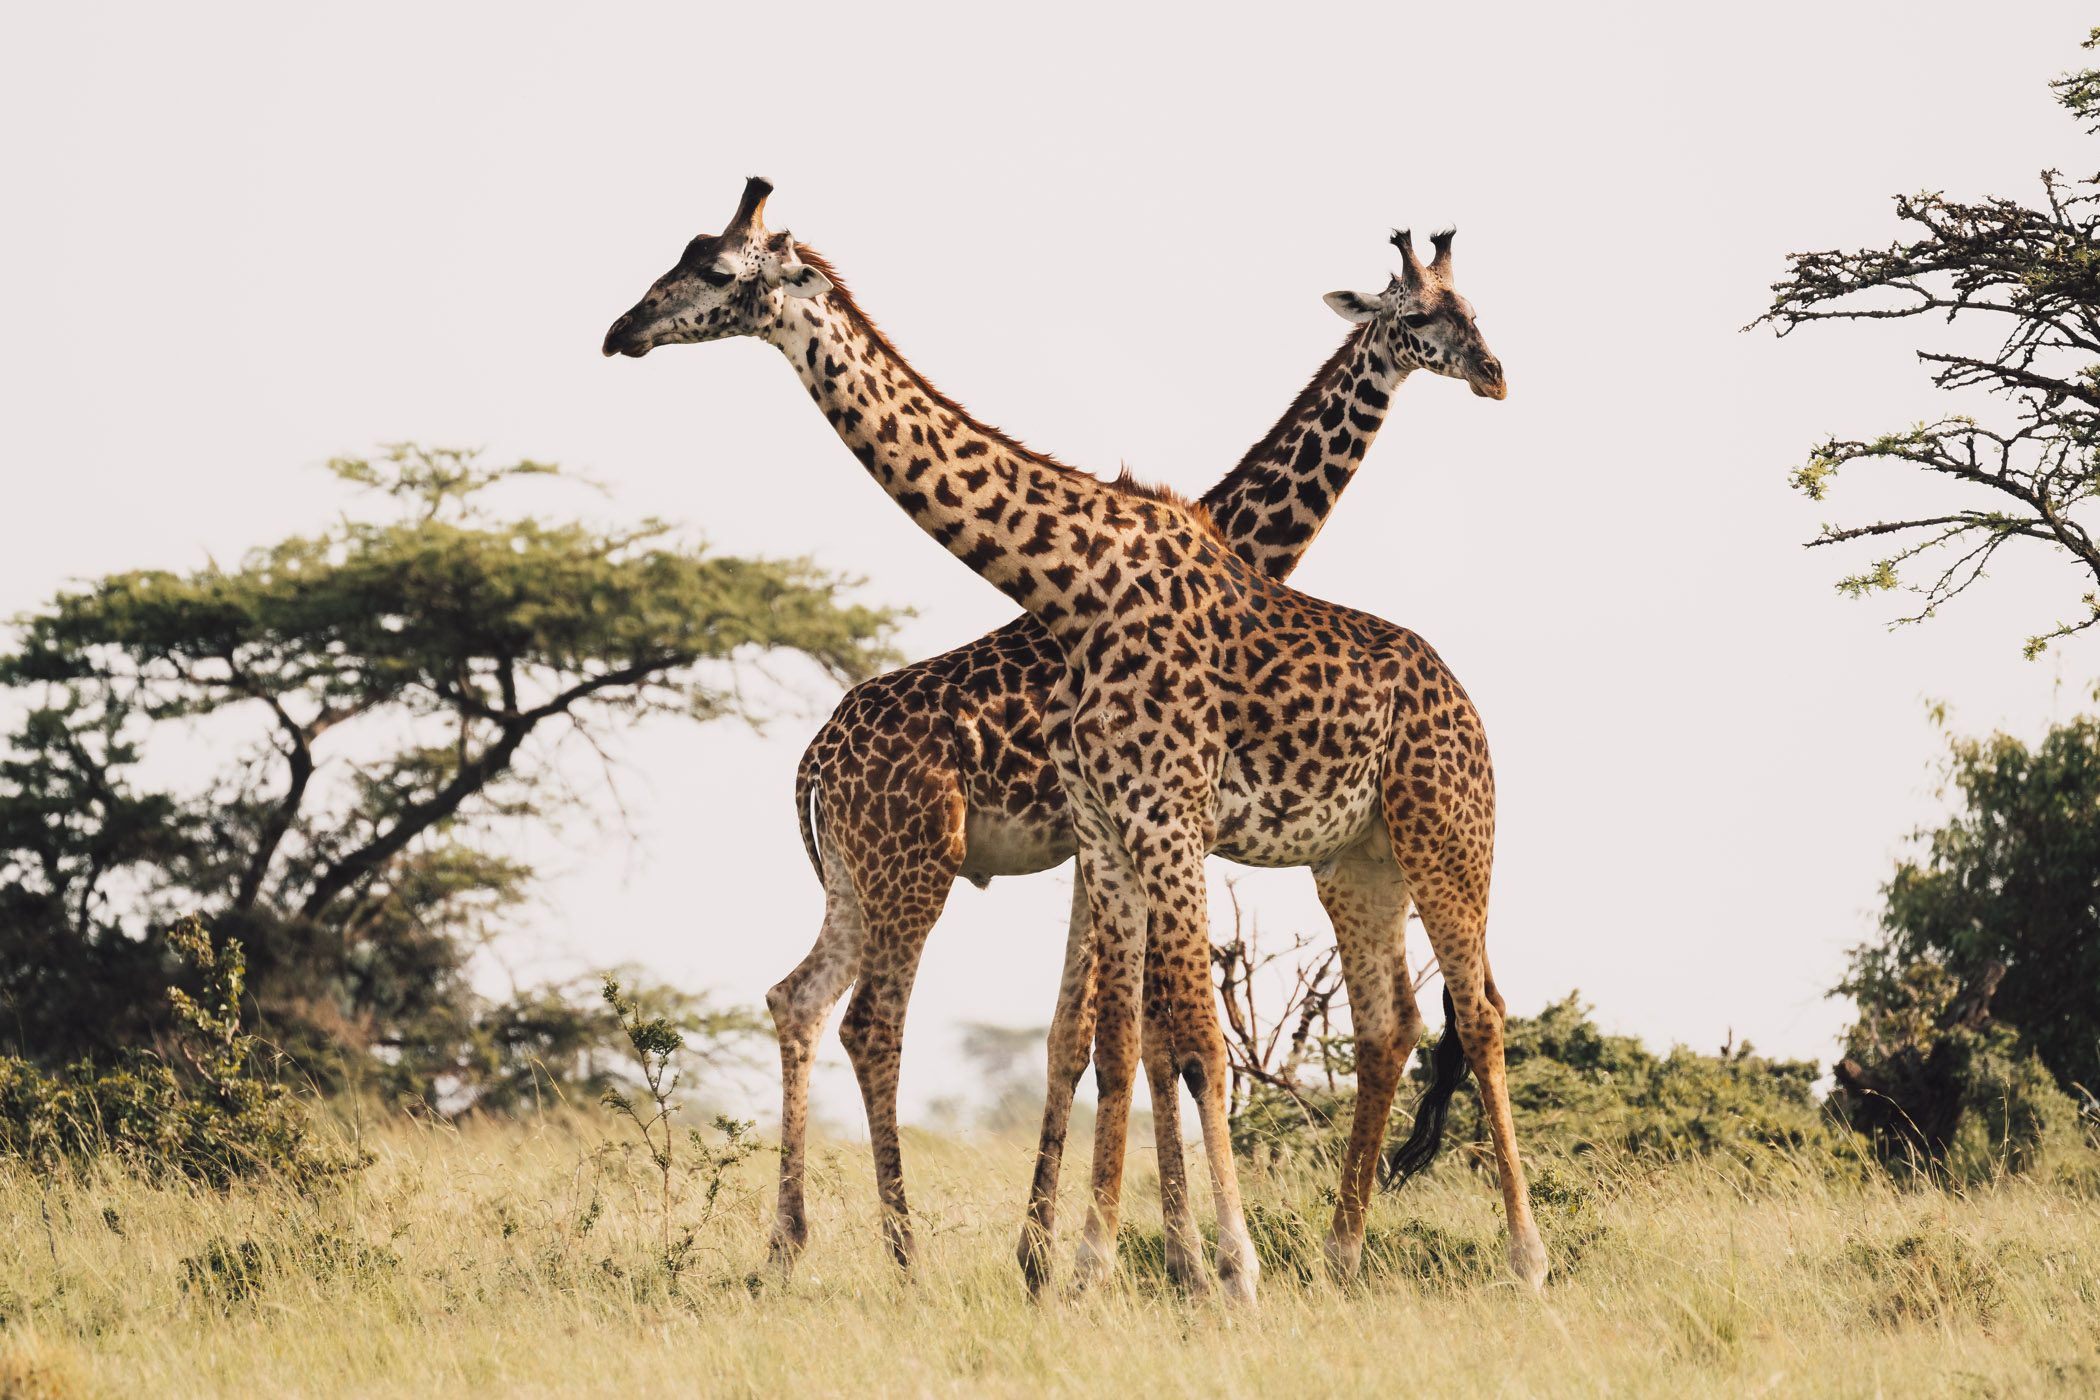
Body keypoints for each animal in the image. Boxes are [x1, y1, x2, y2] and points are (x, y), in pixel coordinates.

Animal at [600, 178, 1553, 1301]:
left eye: (713, 267)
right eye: (1418, 318)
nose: (623, 330)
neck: (1087, 579)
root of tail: (811, 764)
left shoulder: (1145, 825)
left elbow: (1133, 1039)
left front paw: (1147, 1260)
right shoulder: (1113, 829)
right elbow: (1135, 1039)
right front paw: (1139, 1261)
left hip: (1423, 837)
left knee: (1467, 1010)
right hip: (947, 867)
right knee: (856, 1016)